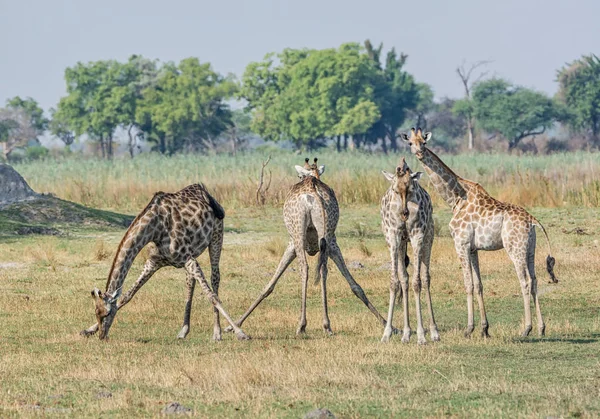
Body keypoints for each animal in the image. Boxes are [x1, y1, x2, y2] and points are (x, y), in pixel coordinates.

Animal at [79, 184, 248, 342]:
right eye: (96, 313)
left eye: (107, 313)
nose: (102, 336)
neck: (154, 228)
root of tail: (204, 190)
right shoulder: (154, 263)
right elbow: (127, 295)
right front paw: (88, 330)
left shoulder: (188, 259)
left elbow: (211, 295)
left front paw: (240, 332)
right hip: (192, 254)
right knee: (190, 282)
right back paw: (183, 331)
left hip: (216, 235)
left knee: (215, 278)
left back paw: (217, 333)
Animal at [225, 159, 390, 336]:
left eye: (299, 175)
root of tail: (313, 189)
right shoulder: (331, 244)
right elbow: (355, 285)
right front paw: (386, 323)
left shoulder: (291, 243)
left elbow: (269, 285)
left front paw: (234, 325)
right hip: (328, 234)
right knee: (324, 269)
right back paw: (327, 325)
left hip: (298, 234)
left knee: (304, 268)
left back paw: (301, 325)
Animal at [380, 158, 440, 344]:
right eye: (394, 190)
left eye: (411, 189)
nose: (404, 213)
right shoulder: (393, 236)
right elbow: (395, 282)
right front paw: (386, 333)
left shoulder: (417, 235)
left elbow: (417, 282)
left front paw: (421, 335)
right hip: (401, 244)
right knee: (404, 279)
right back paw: (406, 333)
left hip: (428, 237)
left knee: (426, 278)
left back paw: (433, 331)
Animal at [400, 128, 560, 338]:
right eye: (411, 143)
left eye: (424, 142)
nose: (419, 152)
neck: (456, 198)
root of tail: (533, 221)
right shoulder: (474, 248)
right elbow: (479, 285)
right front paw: (484, 329)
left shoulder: (461, 243)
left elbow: (468, 284)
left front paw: (469, 329)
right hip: (530, 249)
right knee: (534, 280)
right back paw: (541, 328)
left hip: (515, 248)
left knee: (524, 281)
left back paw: (526, 329)